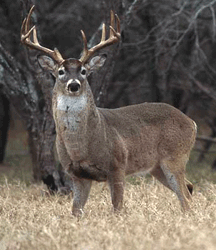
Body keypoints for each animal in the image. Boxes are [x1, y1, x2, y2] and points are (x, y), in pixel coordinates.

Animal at [21, 5, 197, 217]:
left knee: (186, 196)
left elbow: (117, 207)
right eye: (61, 71)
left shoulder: (117, 165)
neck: (81, 148)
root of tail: (191, 122)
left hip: (175, 156)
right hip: (157, 167)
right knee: (189, 188)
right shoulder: (76, 174)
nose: (74, 85)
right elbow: (75, 211)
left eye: (83, 71)